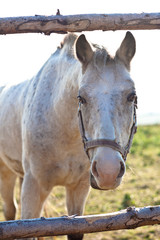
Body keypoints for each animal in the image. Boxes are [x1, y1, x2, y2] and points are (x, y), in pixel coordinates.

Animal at [0, 31, 136, 240]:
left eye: (132, 96)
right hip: (5, 172)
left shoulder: (78, 188)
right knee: (10, 212)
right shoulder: (33, 188)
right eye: (81, 98)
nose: (108, 171)